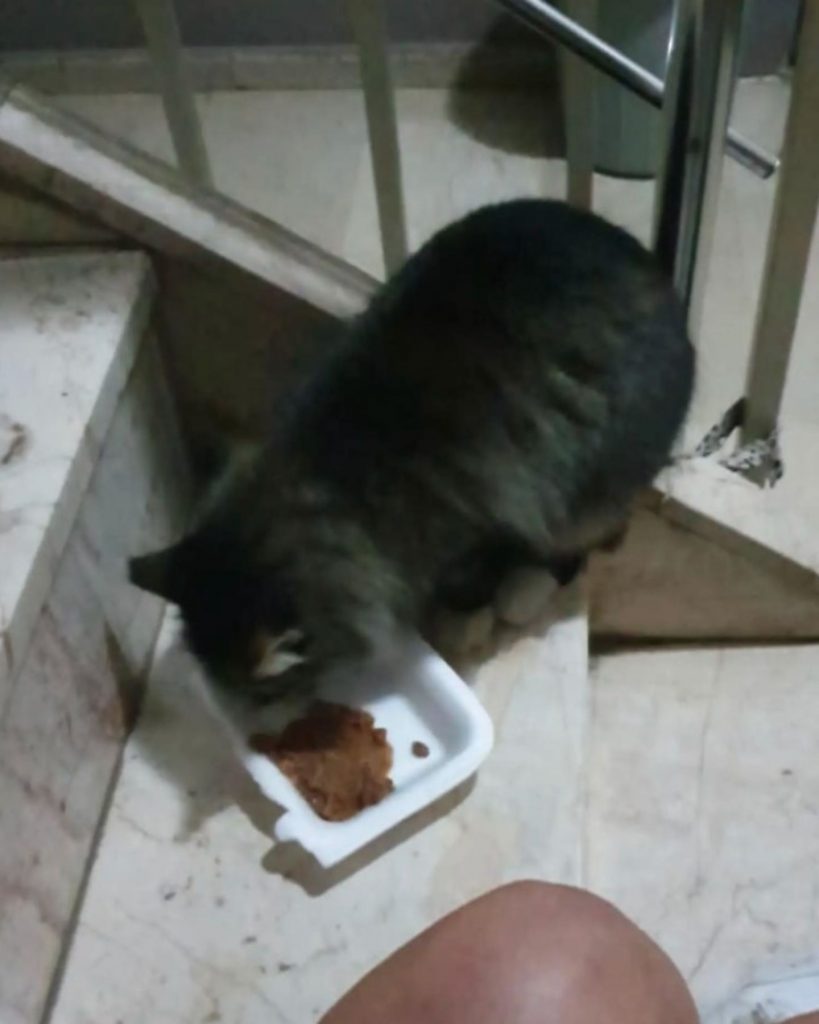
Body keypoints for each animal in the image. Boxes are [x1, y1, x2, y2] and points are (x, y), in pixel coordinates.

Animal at [131, 195, 696, 700]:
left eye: (265, 695)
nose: (257, 715)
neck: (326, 478)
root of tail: (665, 289)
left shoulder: (470, 533)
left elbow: (469, 582)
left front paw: (466, 619)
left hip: (585, 501)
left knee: (575, 551)